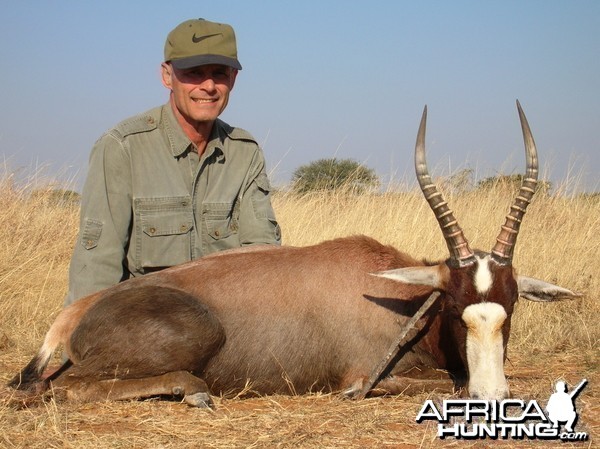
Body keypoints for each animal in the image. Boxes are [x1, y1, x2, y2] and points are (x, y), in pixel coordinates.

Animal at [9, 102, 580, 406]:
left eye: (512, 305)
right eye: (455, 307)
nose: (493, 397)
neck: (392, 293)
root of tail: (74, 314)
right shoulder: (361, 377)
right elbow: (440, 382)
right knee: (62, 387)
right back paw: (193, 390)